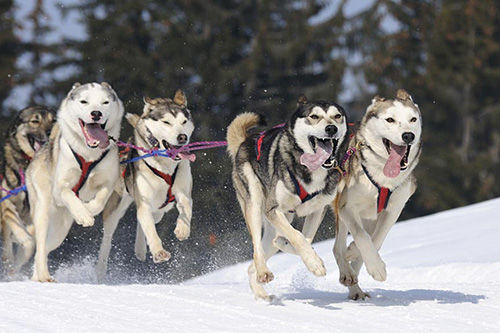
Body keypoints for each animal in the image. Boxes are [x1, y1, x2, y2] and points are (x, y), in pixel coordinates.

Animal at [0, 106, 54, 274]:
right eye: (35, 121)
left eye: (53, 120)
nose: (50, 131)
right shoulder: (7, 204)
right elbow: (24, 238)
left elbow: (30, 245)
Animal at [25, 81, 123, 282]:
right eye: (84, 101)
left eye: (105, 102)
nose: (96, 113)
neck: (88, 154)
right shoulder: (60, 188)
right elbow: (68, 193)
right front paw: (83, 214)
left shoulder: (108, 183)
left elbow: (100, 200)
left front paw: (88, 210)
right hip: (43, 212)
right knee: (40, 247)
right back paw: (44, 276)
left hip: (60, 231)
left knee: (45, 248)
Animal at [95, 89, 195, 280]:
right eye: (166, 122)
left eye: (184, 122)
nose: (182, 137)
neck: (164, 165)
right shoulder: (144, 199)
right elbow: (149, 228)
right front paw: (158, 252)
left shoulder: (182, 190)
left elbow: (186, 203)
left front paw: (182, 229)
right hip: (117, 206)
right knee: (109, 236)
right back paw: (101, 269)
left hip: (160, 210)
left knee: (144, 219)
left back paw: (140, 249)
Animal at [227, 94, 348, 300]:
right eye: (314, 116)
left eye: (337, 116)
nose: (331, 128)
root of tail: (245, 142)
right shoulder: (273, 209)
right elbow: (298, 236)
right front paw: (314, 263)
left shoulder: (318, 210)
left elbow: (305, 239)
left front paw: (306, 254)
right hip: (255, 203)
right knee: (257, 249)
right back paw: (263, 273)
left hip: (283, 218)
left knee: (254, 261)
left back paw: (261, 293)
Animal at [332, 88, 422, 298]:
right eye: (390, 119)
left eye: (413, 119)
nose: (408, 136)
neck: (382, 178)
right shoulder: (347, 207)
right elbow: (363, 237)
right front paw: (376, 267)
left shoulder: (394, 208)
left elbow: (377, 239)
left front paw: (358, 254)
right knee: (337, 247)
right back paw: (348, 274)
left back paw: (355, 284)